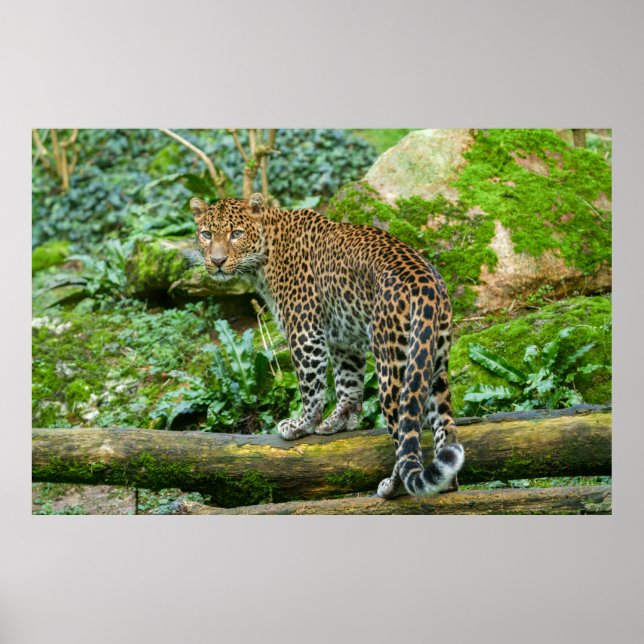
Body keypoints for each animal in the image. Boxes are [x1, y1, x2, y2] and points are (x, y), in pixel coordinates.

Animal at [190, 193, 465, 498]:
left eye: (236, 234)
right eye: (206, 234)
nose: (217, 261)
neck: (265, 257)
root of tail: (425, 284)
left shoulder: (305, 333)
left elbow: (311, 389)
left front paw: (301, 425)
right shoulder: (343, 340)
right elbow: (348, 384)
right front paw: (339, 421)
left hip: (393, 364)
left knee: (404, 432)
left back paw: (393, 487)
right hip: (433, 358)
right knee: (445, 423)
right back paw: (447, 483)